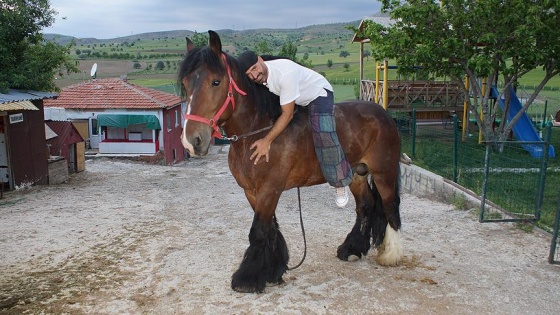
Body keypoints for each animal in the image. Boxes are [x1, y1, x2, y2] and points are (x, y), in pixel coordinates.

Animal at [179, 30, 402, 296]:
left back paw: (391, 254)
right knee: (365, 206)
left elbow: (259, 231)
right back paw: (352, 249)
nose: (192, 141)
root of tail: (384, 114)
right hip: (357, 174)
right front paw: (273, 271)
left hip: (384, 173)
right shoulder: (252, 191)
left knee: (390, 207)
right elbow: (271, 229)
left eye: (216, 82)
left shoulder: (270, 189)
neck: (259, 133)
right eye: (185, 83)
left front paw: (247, 278)